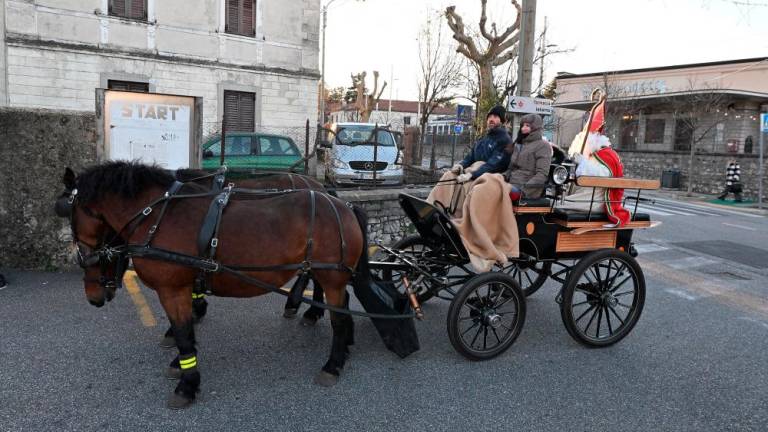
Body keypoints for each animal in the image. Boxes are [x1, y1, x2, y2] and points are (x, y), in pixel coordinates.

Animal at [60, 161, 380, 408]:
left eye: (73, 222)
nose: (94, 296)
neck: (156, 216)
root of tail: (344, 205)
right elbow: (185, 330)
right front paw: (181, 363)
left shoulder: (172, 289)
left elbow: (183, 332)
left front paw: (187, 383)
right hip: (327, 273)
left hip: (331, 276)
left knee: (339, 318)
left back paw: (333, 363)